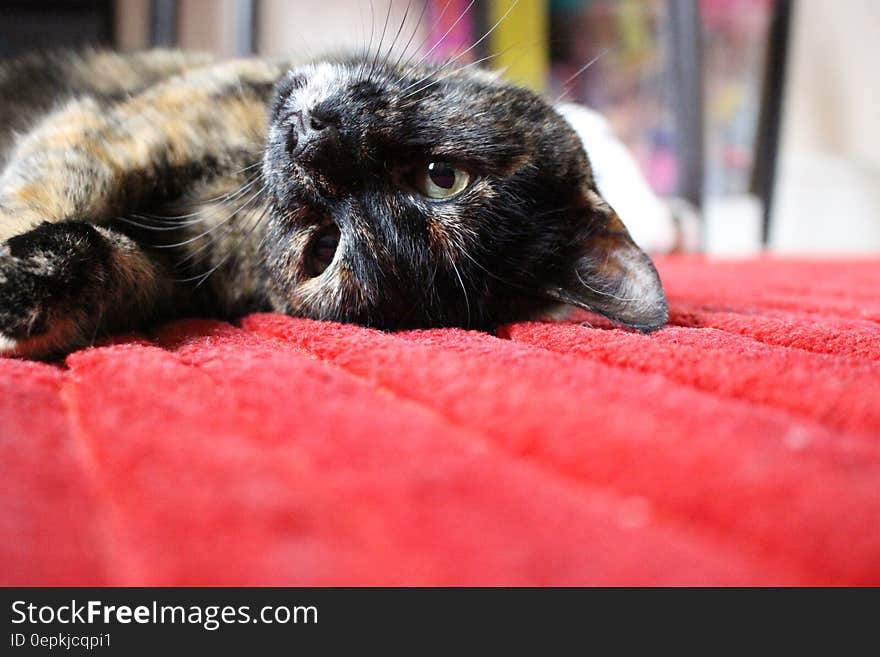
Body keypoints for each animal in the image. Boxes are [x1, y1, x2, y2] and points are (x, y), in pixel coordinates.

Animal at [0, 47, 664, 358]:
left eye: (324, 247)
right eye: (443, 176)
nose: (309, 140)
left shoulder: (175, 274)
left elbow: (113, 261)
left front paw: (26, 290)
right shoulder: (127, 129)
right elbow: (57, 188)